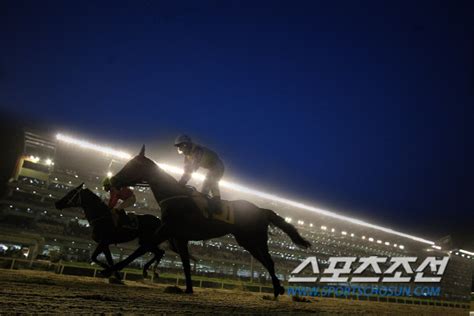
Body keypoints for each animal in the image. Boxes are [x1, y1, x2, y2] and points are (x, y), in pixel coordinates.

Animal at [104, 146, 312, 296]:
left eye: (132, 166)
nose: (111, 182)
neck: (174, 197)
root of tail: (262, 209)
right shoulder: (179, 237)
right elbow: (185, 262)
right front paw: (188, 288)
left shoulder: (166, 229)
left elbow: (142, 248)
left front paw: (112, 270)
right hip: (247, 242)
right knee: (265, 262)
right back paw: (277, 289)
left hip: (256, 240)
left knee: (269, 262)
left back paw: (277, 290)